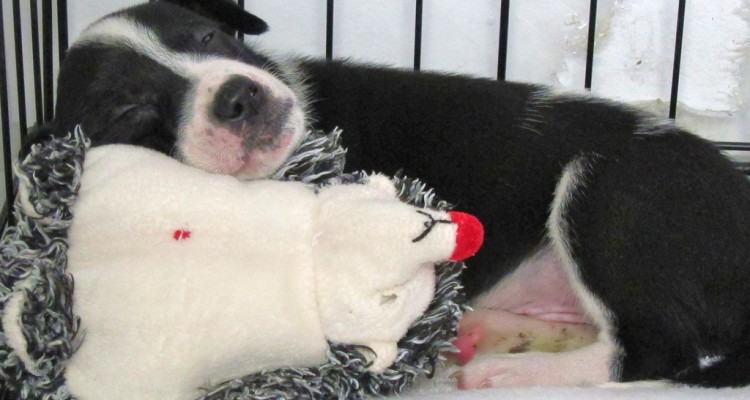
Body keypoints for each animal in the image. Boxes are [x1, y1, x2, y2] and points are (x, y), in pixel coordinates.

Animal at [26, 0, 750, 390]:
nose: (240, 95)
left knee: (655, 350)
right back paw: (496, 333)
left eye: (212, 38)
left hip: (608, 192)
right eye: (130, 111)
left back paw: (511, 374)